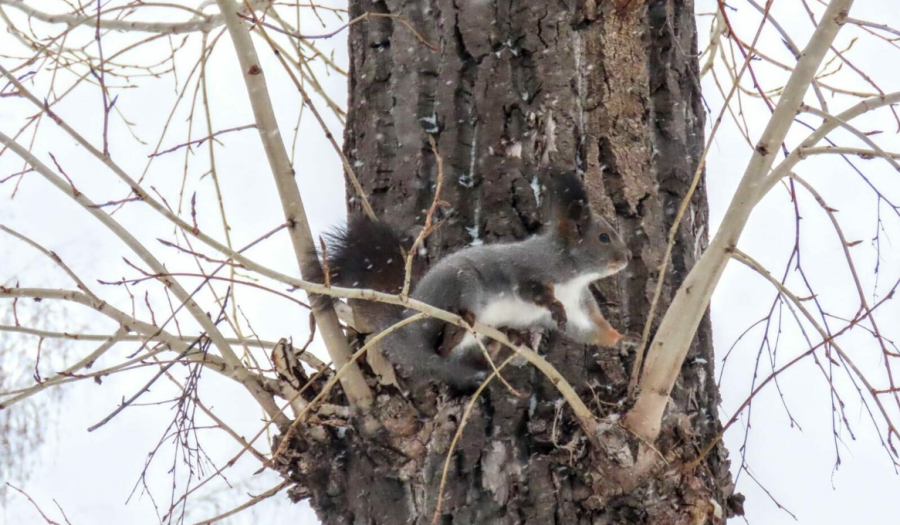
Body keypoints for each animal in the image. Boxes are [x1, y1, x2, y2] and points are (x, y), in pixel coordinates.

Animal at [312, 166, 636, 390]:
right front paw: (553, 306)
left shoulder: (579, 305)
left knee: (457, 356)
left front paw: (622, 340)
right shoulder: (529, 270)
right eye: (604, 237)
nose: (628, 256)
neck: (573, 276)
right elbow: (533, 291)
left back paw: (507, 342)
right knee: (443, 344)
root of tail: (405, 329)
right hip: (463, 284)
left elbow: (590, 330)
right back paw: (460, 327)